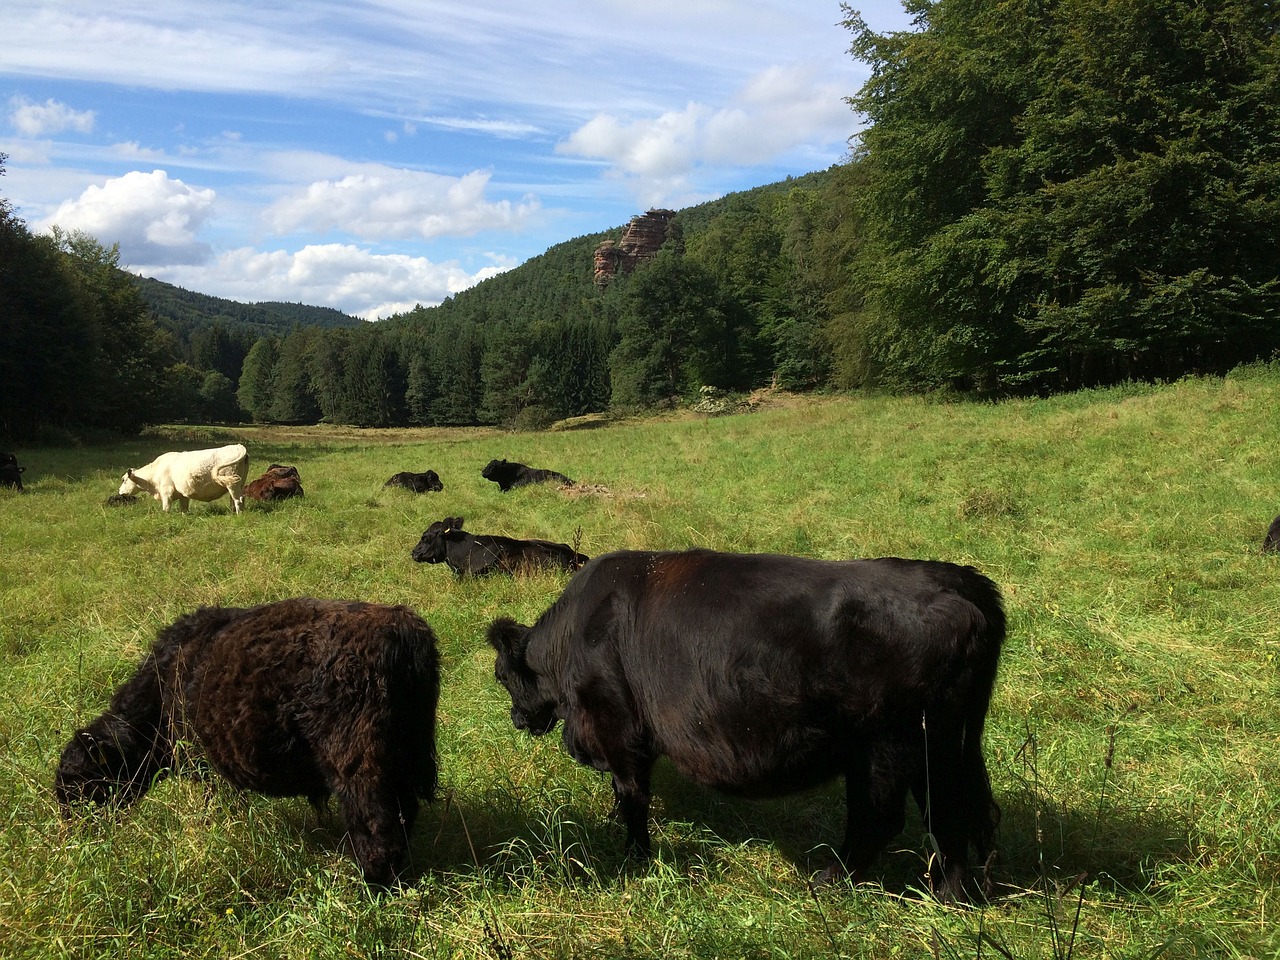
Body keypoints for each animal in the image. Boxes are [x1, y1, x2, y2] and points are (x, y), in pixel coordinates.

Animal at [55, 601, 440, 885]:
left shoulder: (203, 765)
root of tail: (403, 630)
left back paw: (371, 886)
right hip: (404, 759)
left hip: (359, 766)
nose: (74, 836)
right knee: (404, 816)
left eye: (79, 783)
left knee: (378, 828)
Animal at [119, 445, 249, 514]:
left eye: (124, 480)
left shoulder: (166, 492)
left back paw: (239, 515)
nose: (119, 492)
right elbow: (184, 509)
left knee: (238, 499)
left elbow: (166, 508)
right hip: (238, 483)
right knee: (236, 499)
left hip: (232, 485)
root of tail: (238, 446)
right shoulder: (183, 494)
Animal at [488, 547, 1008, 901]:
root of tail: (960, 579)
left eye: (501, 676)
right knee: (955, 811)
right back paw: (951, 896)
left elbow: (632, 796)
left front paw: (635, 857)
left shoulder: (617, 729)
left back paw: (830, 881)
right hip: (942, 744)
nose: (515, 718)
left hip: (887, 745)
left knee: (884, 818)